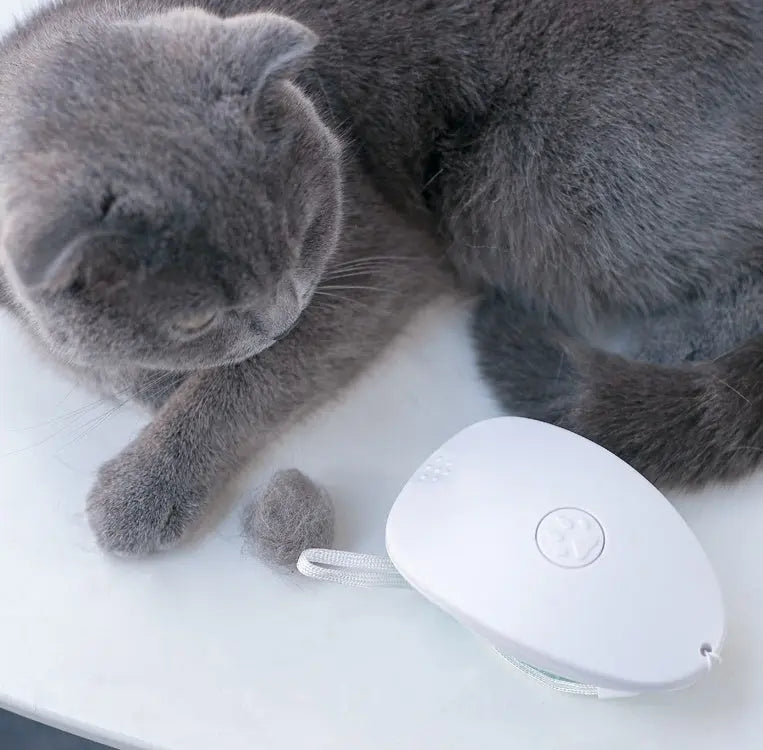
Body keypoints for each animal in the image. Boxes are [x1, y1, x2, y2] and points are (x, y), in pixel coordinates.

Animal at [0, 0, 760, 560]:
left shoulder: (377, 255)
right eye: (196, 317)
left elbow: (247, 381)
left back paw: (671, 346)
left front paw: (143, 489)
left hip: (535, 181)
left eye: (305, 230)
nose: (282, 311)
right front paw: (143, 378)